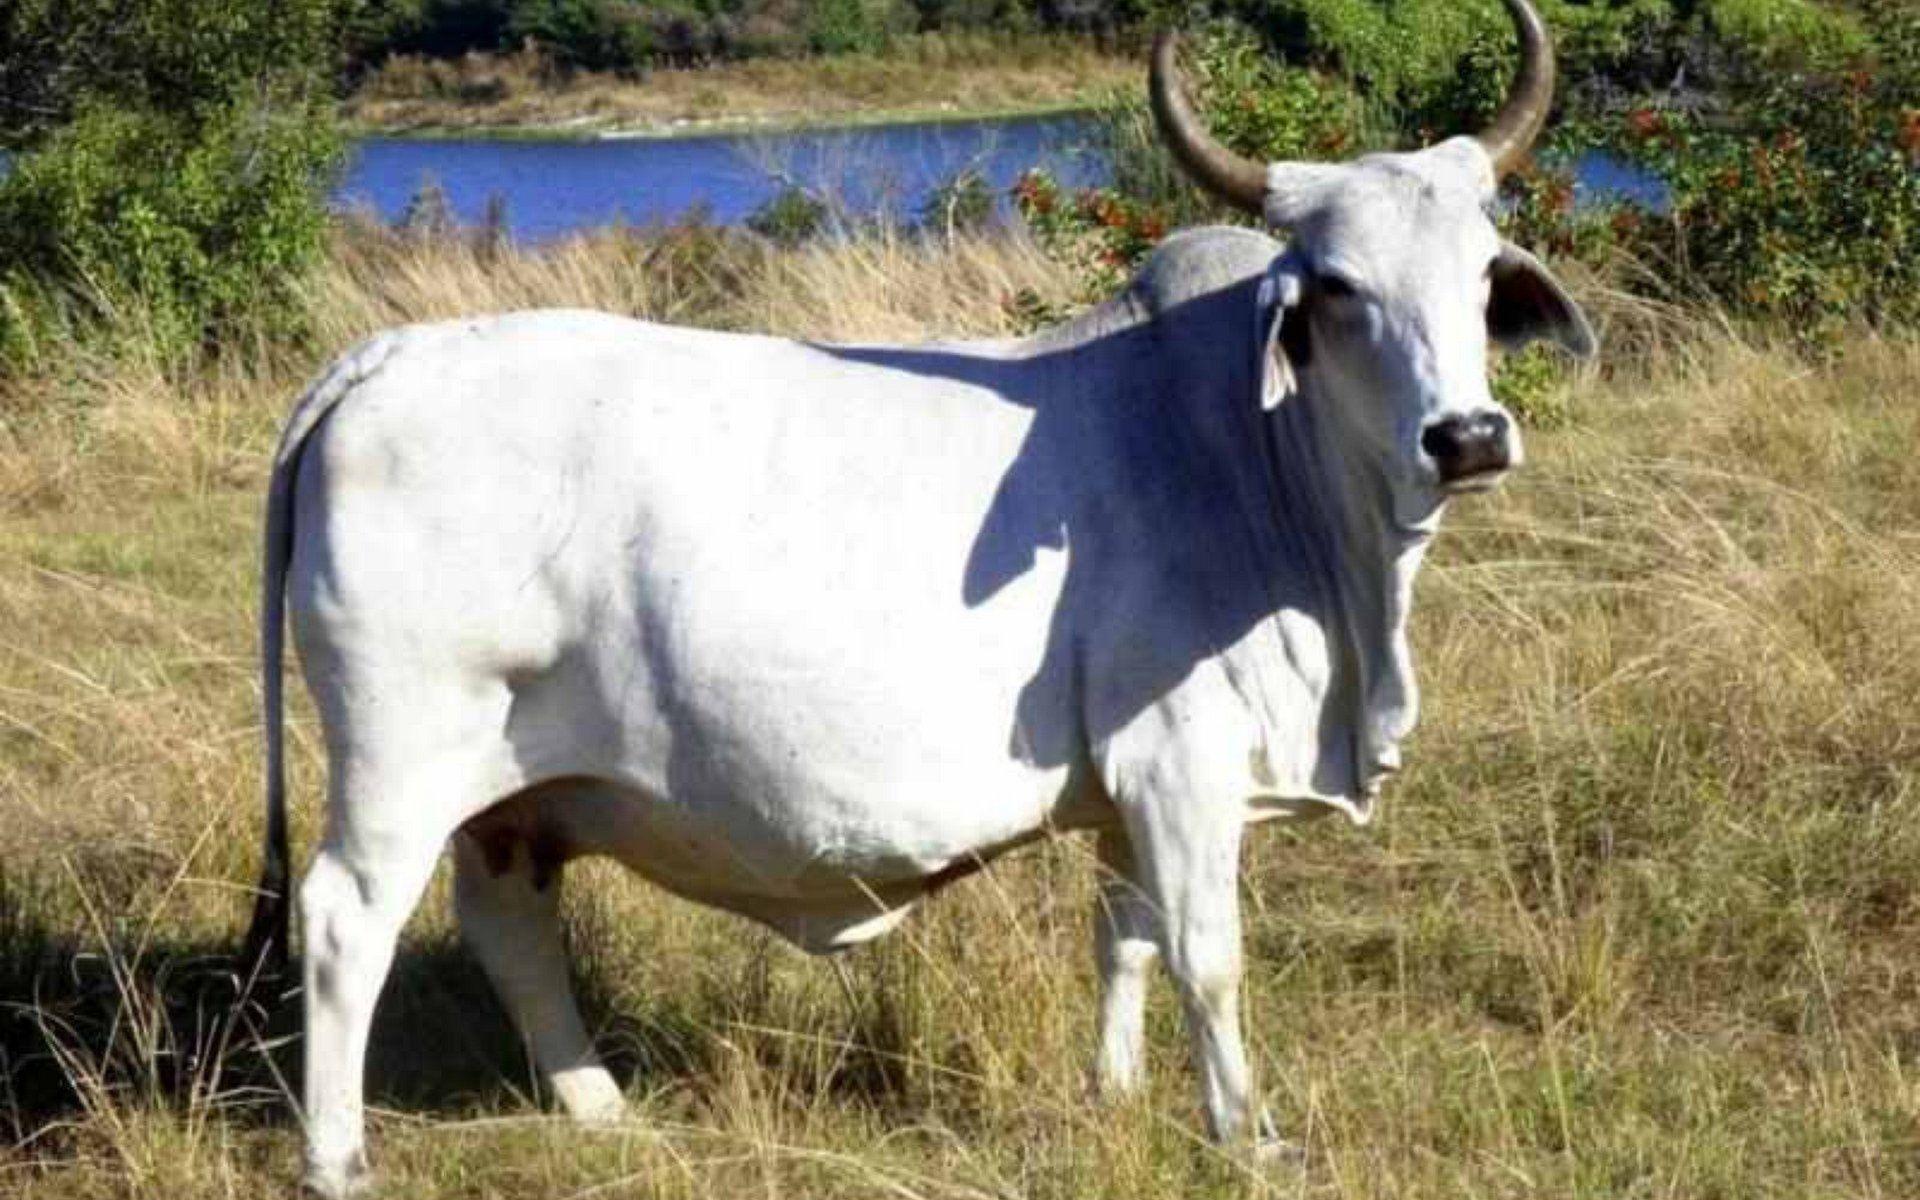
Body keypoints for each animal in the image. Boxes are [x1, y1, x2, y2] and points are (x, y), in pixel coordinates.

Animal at [241, 2, 1594, 1192]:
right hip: (403, 759)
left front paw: (1110, 1098)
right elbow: (1208, 960)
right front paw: (1248, 1137)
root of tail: (391, 357)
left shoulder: (1125, 792)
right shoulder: (1183, 771)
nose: (1468, 437)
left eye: (1484, 274)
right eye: (1340, 289)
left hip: (515, 789)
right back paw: (338, 1158)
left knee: (508, 921)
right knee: (345, 923)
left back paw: (602, 1108)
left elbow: (1125, 943)